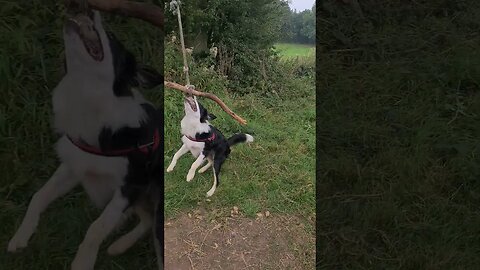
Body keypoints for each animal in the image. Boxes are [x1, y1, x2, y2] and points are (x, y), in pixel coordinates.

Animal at [7, 2, 163, 270]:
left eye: (110, 37)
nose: (87, 9)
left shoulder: (128, 186)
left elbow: (96, 227)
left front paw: (83, 261)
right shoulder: (74, 166)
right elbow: (38, 196)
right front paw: (21, 235)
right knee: (146, 221)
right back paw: (119, 245)